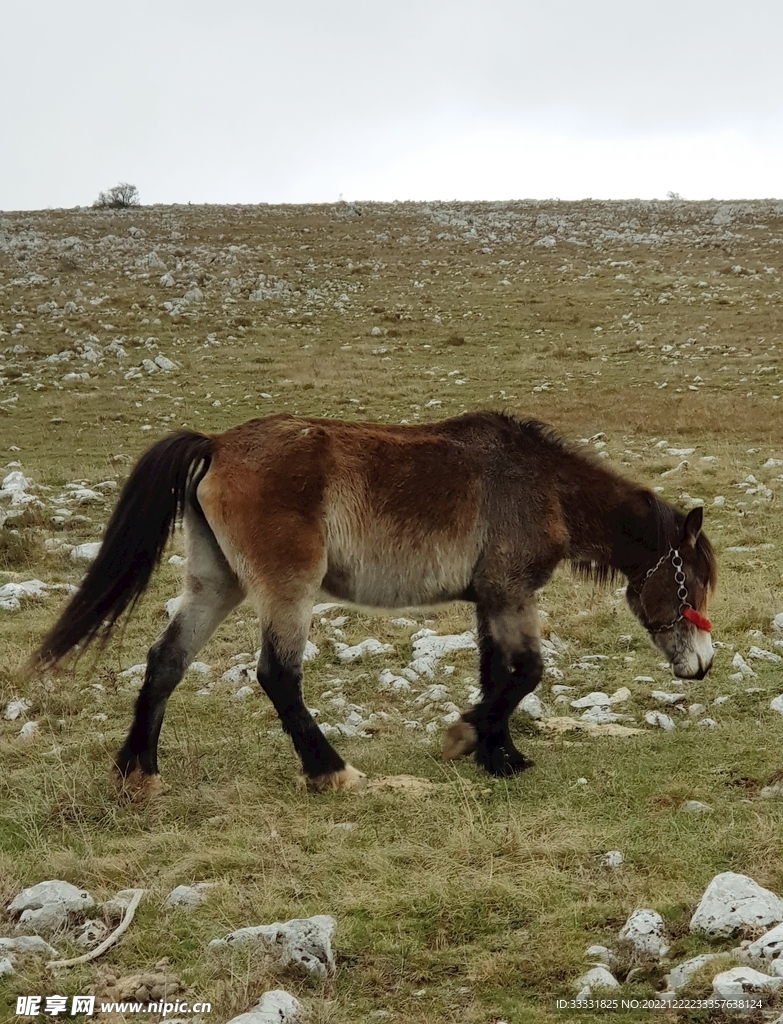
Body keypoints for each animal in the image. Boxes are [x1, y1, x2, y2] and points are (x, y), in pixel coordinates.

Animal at [31, 411, 717, 794]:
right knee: (278, 675)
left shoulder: (489, 599)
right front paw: (466, 739)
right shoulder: (511, 592)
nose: (703, 665)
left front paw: (499, 756)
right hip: (288, 590)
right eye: (693, 578)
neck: (542, 486)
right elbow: (525, 673)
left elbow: (496, 673)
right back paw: (330, 772)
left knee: (165, 662)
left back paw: (138, 772)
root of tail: (217, 444)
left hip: (216, 583)